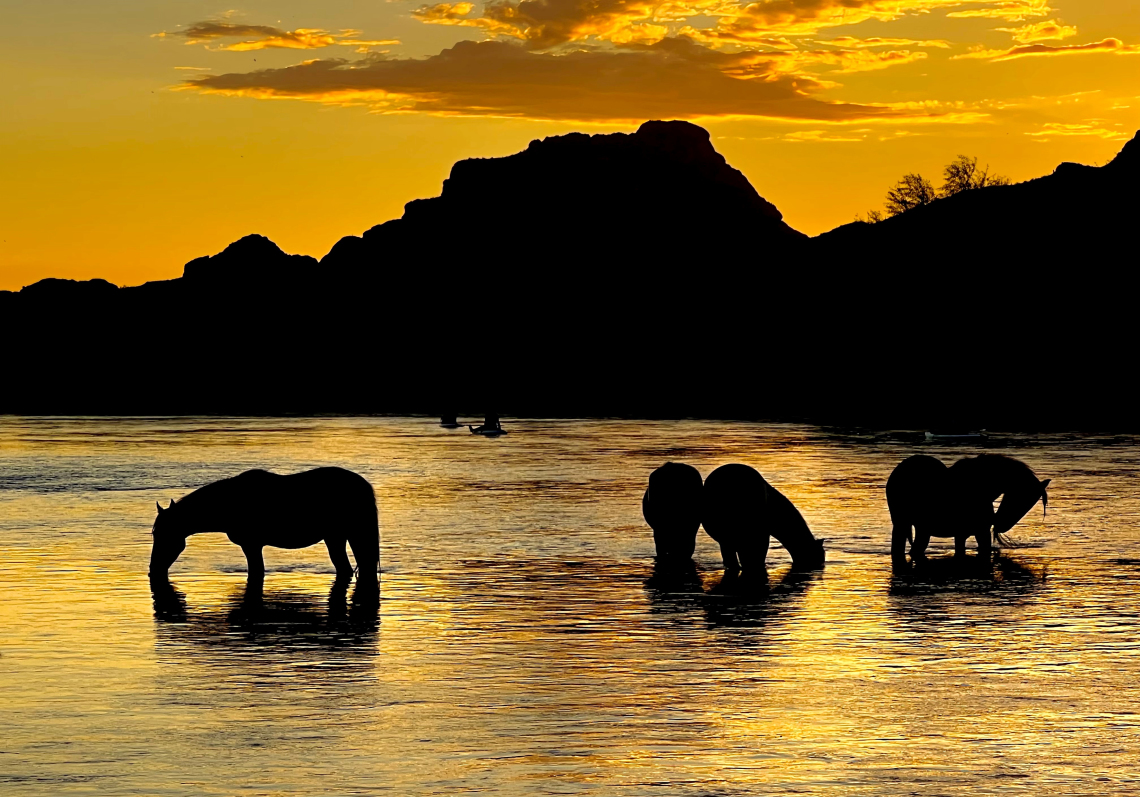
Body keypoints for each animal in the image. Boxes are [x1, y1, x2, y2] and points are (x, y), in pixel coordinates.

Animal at [149, 467, 380, 588]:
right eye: (155, 533)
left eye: (163, 534)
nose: (153, 569)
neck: (228, 503)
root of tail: (363, 485)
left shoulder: (251, 546)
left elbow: (256, 572)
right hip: (337, 538)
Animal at [884, 451, 1053, 563]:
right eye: (1023, 499)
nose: (1000, 525)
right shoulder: (978, 532)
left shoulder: (967, 534)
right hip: (904, 525)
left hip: (919, 529)